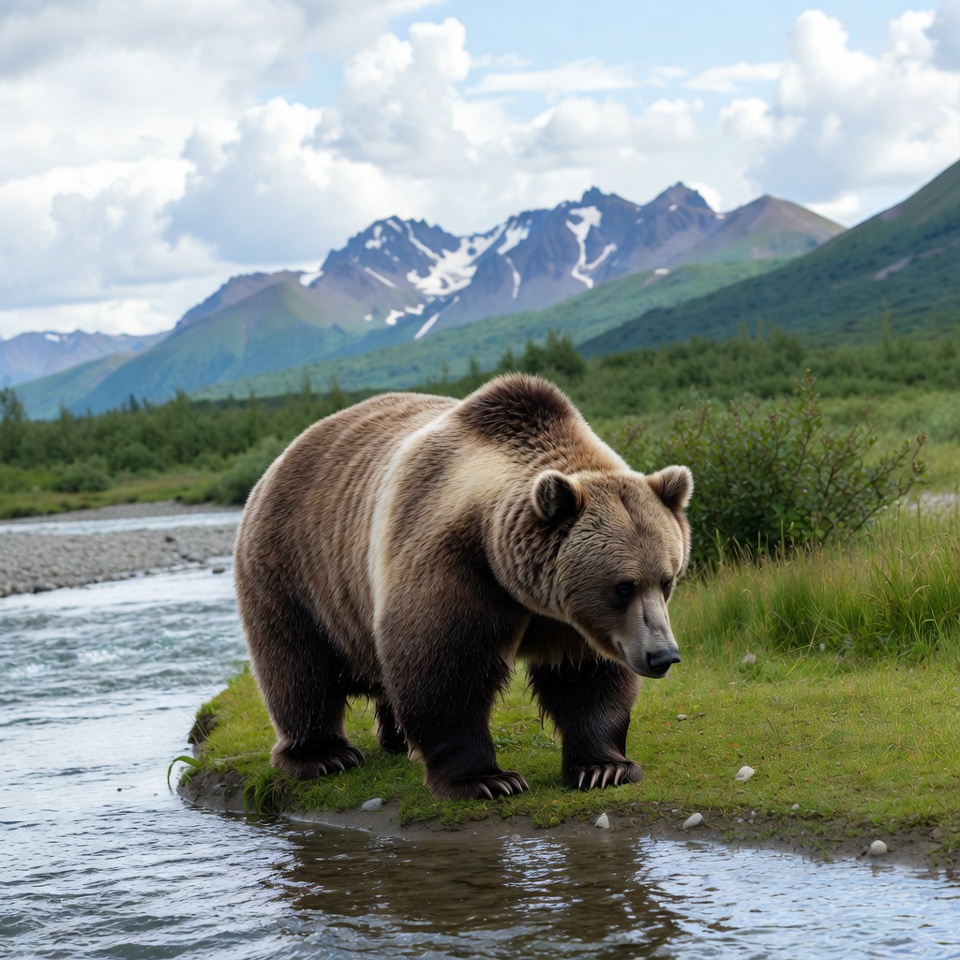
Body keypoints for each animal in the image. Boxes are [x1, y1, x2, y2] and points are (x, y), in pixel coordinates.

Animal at [233, 373, 693, 801]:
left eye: (666, 579)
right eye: (623, 586)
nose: (663, 655)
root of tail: (282, 456)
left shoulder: (570, 615)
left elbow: (587, 675)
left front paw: (603, 767)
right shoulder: (454, 561)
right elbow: (443, 666)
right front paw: (487, 779)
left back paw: (396, 740)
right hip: (295, 567)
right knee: (297, 665)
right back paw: (323, 754)